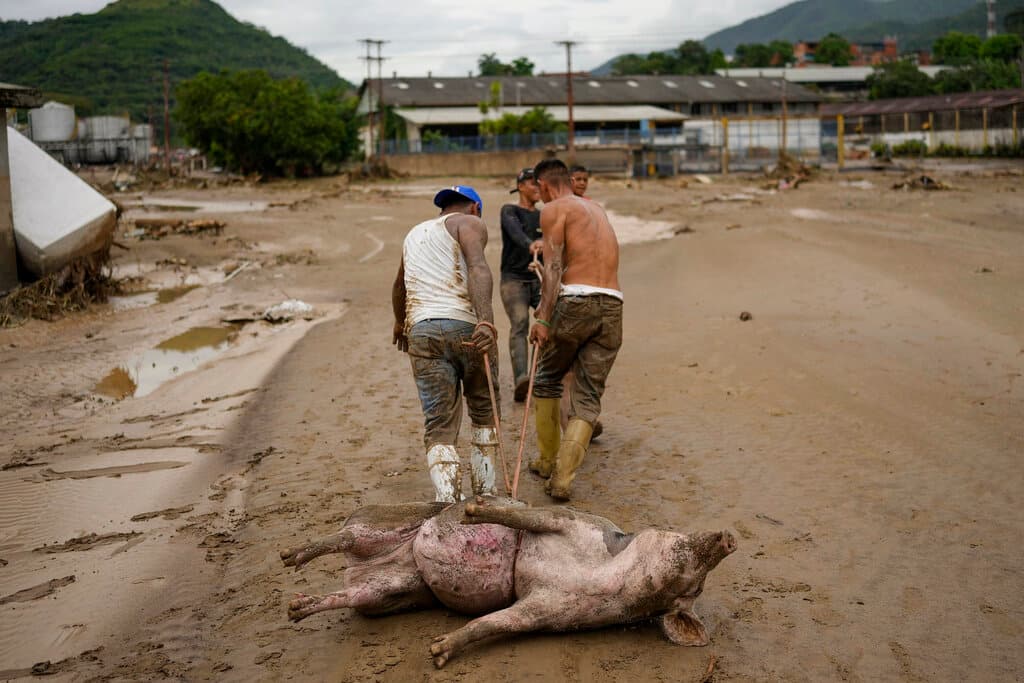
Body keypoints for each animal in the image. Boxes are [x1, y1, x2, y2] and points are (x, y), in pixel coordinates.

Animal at [280, 497, 736, 668]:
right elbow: (525, 515)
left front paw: (438, 653)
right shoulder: (566, 522)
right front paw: (476, 509)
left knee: (351, 592)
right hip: (381, 523)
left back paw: (295, 608)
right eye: (682, 541)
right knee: (343, 535)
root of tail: (355, 567)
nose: (729, 538)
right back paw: (289, 558)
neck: (607, 578)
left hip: (389, 589)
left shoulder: (544, 611)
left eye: (694, 590)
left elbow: (493, 623)